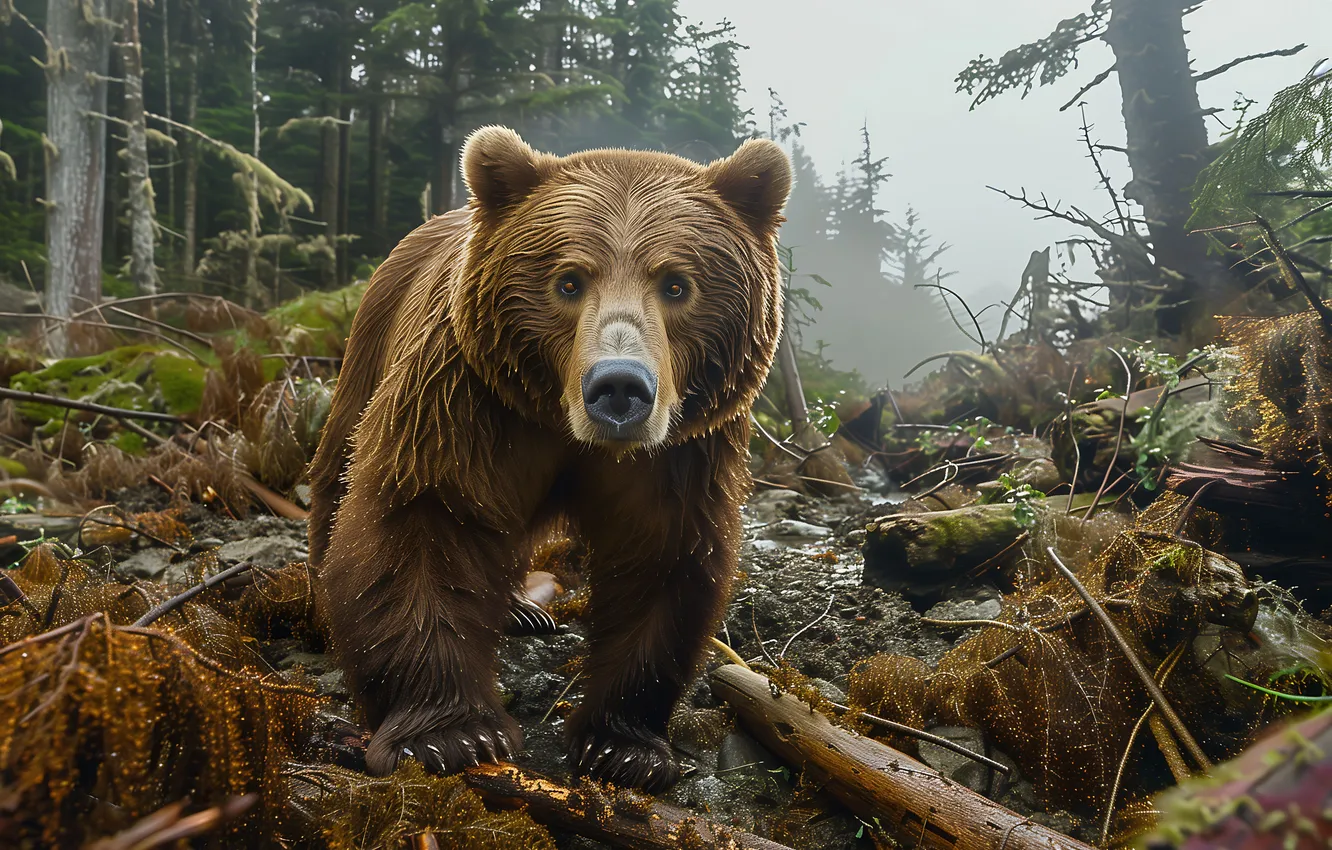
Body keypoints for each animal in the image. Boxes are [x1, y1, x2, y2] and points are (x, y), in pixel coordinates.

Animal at [307, 125, 792, 792]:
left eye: (676, 284)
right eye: (569, 281)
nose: (620, 386)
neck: (563, 423)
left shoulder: (678, 453)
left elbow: (662, 557)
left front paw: (624, 745)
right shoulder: (463, 403)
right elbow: (422, 520)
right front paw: (452, 735)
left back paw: (520, 609)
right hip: (371, 345)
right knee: (338, 469)